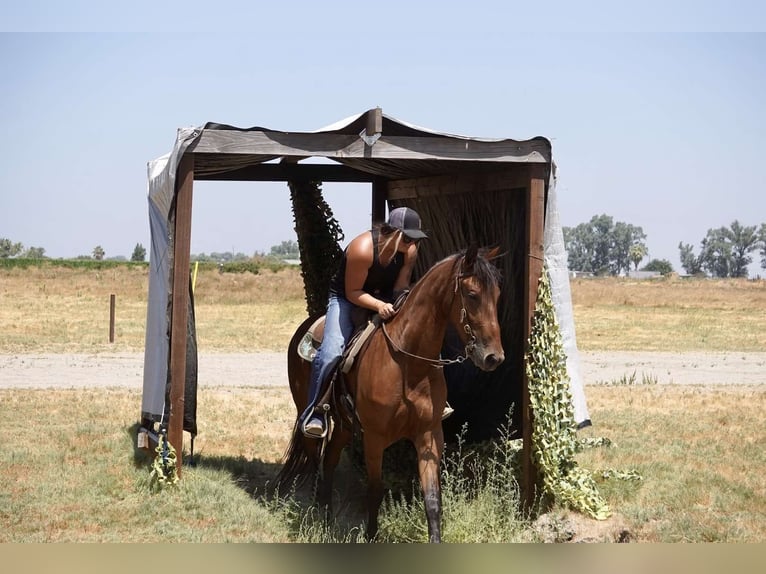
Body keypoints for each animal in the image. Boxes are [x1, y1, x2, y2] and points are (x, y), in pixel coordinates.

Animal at [274, 245, 504, 544]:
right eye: (473, 294)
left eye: (497, 295)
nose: (493, 357)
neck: (408, 365)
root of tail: (304, 328)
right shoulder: (374, 437)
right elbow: (375, 489)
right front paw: (371, 535)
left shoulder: (429, 434)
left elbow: (432, 499)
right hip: (309, 415)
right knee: (316, 461)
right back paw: (316, 516)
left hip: (345, 425)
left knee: (330, 460)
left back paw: (327, 518)